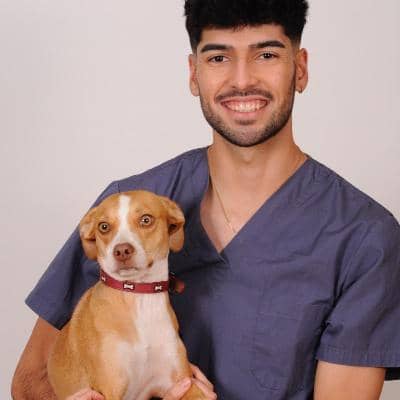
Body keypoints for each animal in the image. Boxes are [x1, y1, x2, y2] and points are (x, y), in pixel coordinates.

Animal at [48, 190, 206, 400]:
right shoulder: (110, 390)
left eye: (146, 219)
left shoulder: (183, 381)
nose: (122, 250)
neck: (138, 297)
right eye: (104, 226)